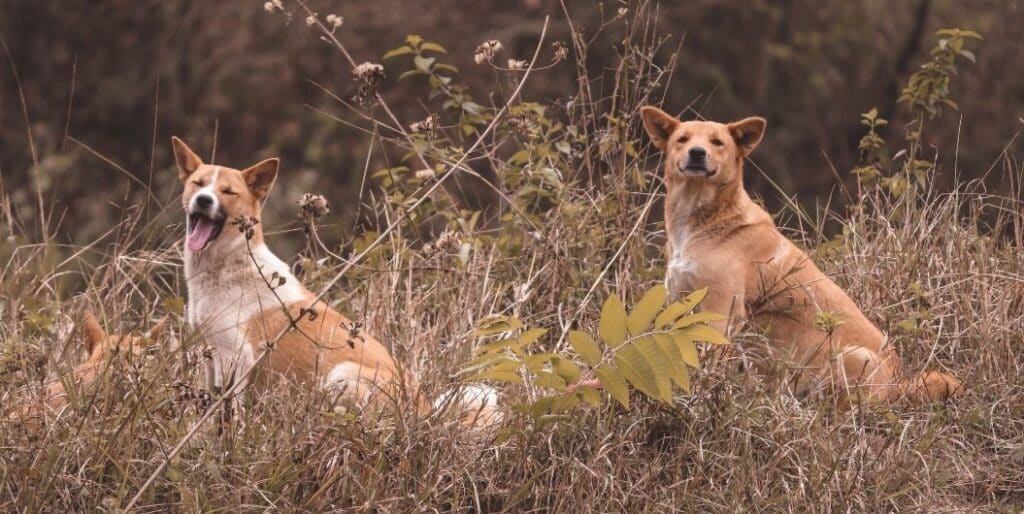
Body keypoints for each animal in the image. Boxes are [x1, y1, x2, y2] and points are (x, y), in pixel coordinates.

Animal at [172, 137, 499, 425]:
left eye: (228, 192)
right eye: (199, 184)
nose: (204, 200)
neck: (229, 264)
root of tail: (425, 414)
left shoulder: (237, 358)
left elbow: (228, 415)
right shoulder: (211, 355)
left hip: (339, 376)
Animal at [638, 106, 958, 405]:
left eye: (717, 142)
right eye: (682, 139)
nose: (697, 152)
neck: (703, 221)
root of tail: (898, 385)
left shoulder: (721, 311)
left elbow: (706, 357)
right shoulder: (679, 300)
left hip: (849, 356)